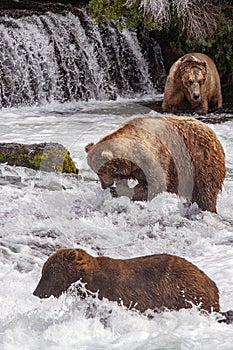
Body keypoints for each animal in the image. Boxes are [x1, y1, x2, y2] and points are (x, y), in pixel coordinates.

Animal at [85, 116, 226, 212]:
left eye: (101, 171)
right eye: (95, 171)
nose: (104, 186)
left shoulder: (155, 157)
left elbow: (156, 184)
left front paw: (118, 191)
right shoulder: (136, 168)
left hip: (200, 164)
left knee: (205, 192)